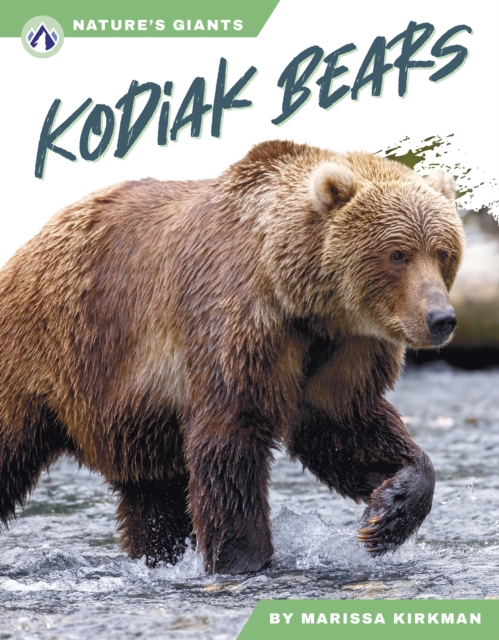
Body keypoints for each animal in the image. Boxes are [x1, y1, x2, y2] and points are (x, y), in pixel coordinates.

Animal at [0, 140, 464, 575]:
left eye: (441, 252)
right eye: (398, 254)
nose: (441, 318)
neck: (301, 300)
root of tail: (26, 247)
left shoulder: (345, 348)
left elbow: (344, 427)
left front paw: (386, 515)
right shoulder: (238, 325)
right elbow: (230, 441)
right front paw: (243, 559)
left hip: (136, 425)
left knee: (155, 500)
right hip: (48, 355)